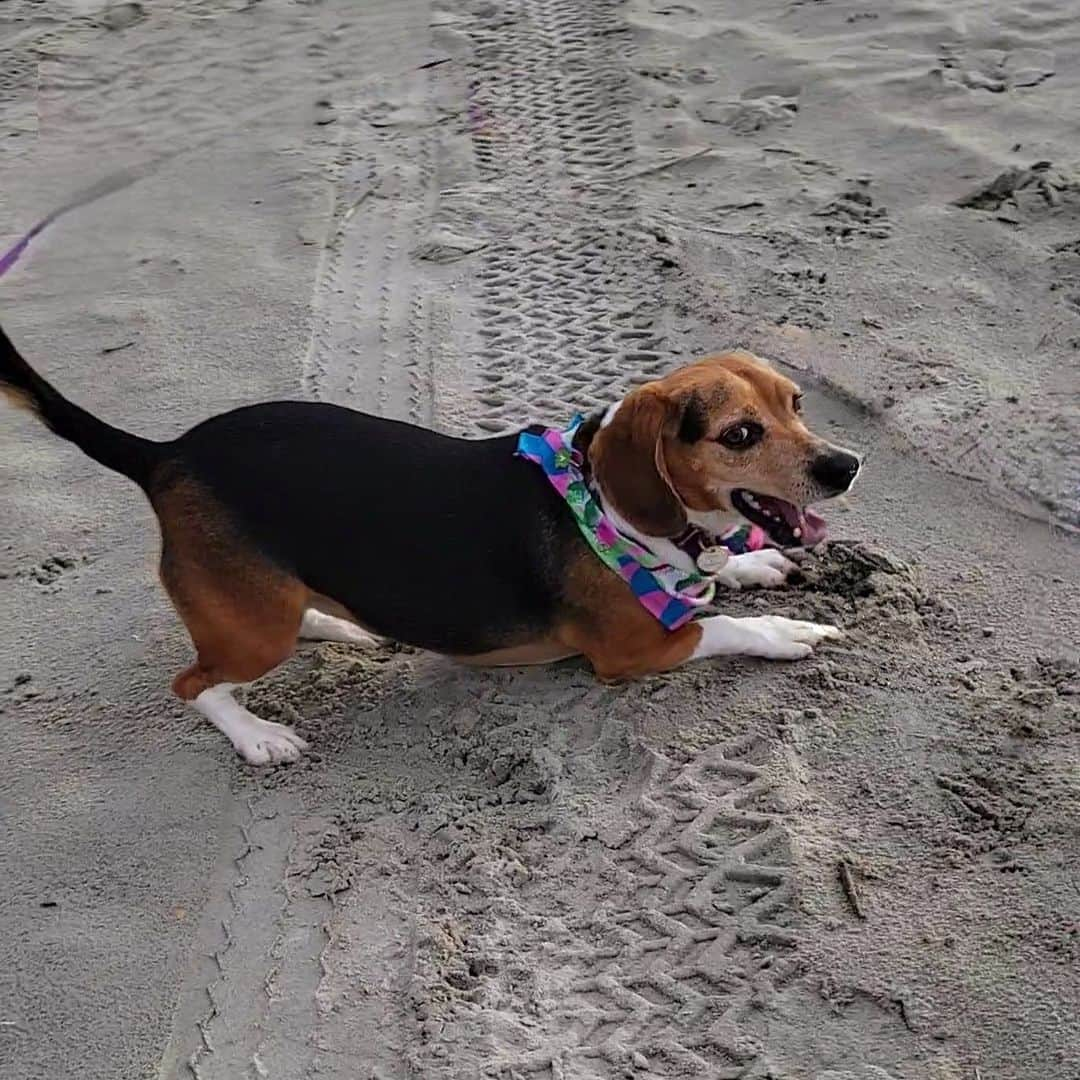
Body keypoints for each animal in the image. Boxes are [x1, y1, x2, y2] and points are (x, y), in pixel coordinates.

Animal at [0, 324, 859, 764]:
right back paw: (258, 736)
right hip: (252, 633)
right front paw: (786, 629)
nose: (847, 466)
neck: (607, 503)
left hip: (266, 601)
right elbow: (724, 625)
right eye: (739, 434)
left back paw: (338, 624)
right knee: (194, 683)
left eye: (796, 403)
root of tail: (166, 454)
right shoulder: (636, 650)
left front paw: (751, 561)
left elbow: (718, 576)